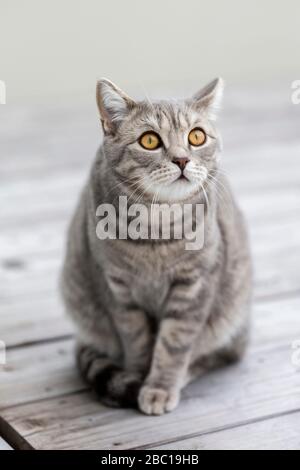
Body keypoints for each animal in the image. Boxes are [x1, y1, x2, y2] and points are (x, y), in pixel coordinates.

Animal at [61, 77, 253, 414]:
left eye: (197, 136)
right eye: (149, 141)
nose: (182, 159)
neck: (156, 231)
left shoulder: (195, 286)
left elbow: (174, 345)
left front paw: (159, 387)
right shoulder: (116, 289)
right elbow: (136, 339)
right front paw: (138, 376)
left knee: (219, 353)